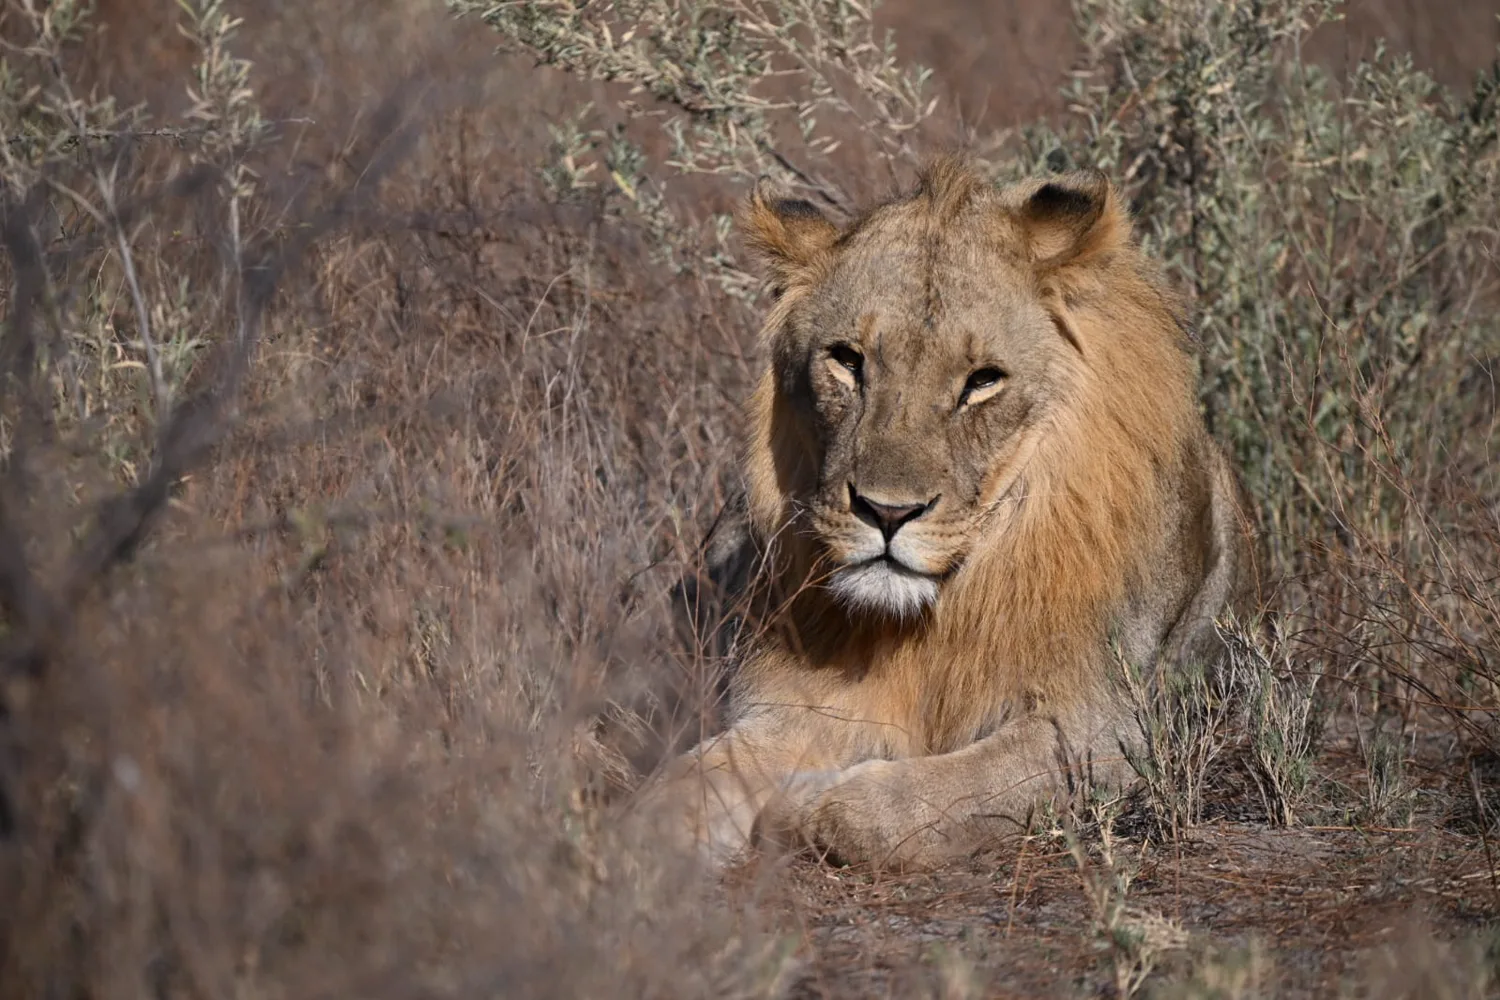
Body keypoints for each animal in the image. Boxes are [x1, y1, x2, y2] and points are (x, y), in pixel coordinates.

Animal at [646, 159, 1259, 871]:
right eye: (847, 360)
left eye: (983, 381)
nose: (886, 512)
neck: (933, 614)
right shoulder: (788, 706)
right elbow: (685, 783)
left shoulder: (1107, 731)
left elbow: (931, 794)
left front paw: (807, 803)